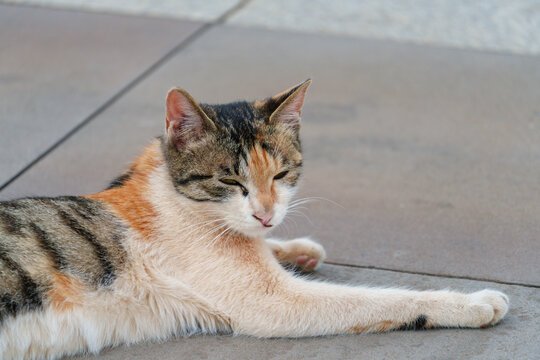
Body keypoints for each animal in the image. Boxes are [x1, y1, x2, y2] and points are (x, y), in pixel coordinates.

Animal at [0, 80, 508, 358]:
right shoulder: (270, 303)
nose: (266, 213)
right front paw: (473, 303)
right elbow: (380, 299)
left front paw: (296, 249)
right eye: (231, 180)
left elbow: (267, 247)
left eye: (281, 174)